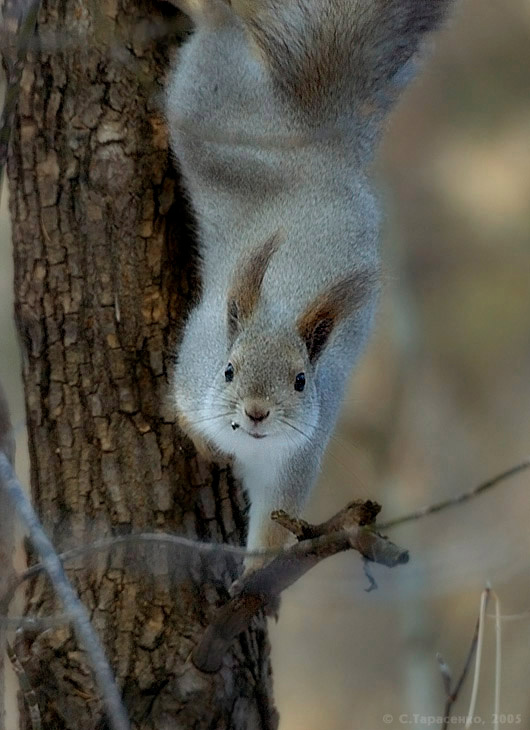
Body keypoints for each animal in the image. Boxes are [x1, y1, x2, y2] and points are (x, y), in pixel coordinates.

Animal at [164, 0, 453, 573]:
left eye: (301, 381)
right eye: (227, 370)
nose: (256, 412)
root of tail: (319, 141)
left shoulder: (295, 462)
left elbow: (275, 526)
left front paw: (255, 574)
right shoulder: (195, 365)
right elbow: (184, 409)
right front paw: (208, 448)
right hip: (208, 110)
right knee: (216, 40)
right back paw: (210, 10)